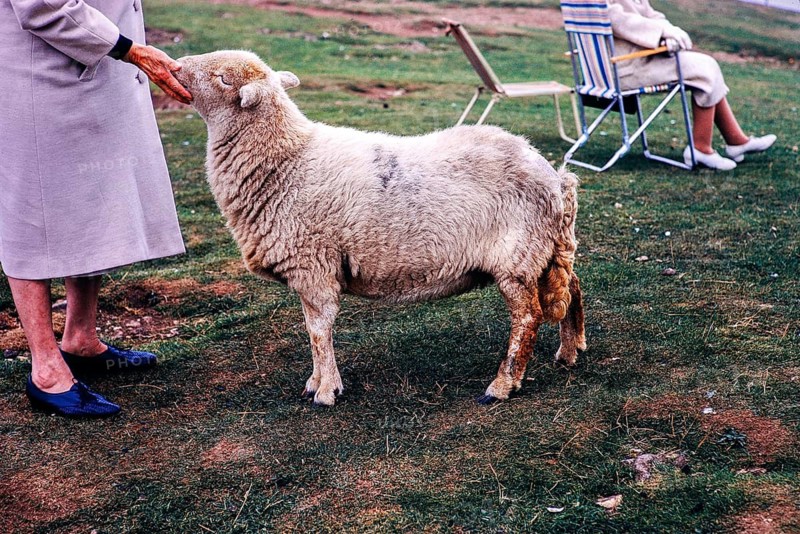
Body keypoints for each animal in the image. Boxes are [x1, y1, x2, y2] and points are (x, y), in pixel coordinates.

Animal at [174, 50, 586, 407]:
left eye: (223, 78)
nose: (175, 66)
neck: (286, 158)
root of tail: (555, 179)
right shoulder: (309, 272)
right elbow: (311, 329)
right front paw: (315, 382)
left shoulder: (314, 266)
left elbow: (319, 330)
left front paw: (326, 391)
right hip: (546, 249)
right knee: (572, 288)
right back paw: (570, 350)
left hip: (517, 256)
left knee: (528, 318)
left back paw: (502, 384)